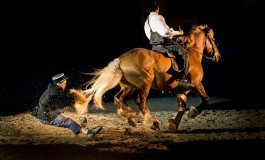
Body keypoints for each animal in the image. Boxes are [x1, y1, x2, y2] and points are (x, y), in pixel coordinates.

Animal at [77, 24, 220, 131]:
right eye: (213, 39)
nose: (218, 56)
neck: (192, 54)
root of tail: (121, 59)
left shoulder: (180, 90)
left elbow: (181, 107)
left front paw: (174, 124)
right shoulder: (196, 84)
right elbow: (205, 99)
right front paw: (193, 112)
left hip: (129, 87)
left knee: (119, 98)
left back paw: (131, 118)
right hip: (145, 84)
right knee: (141, 102)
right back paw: (153, 122)